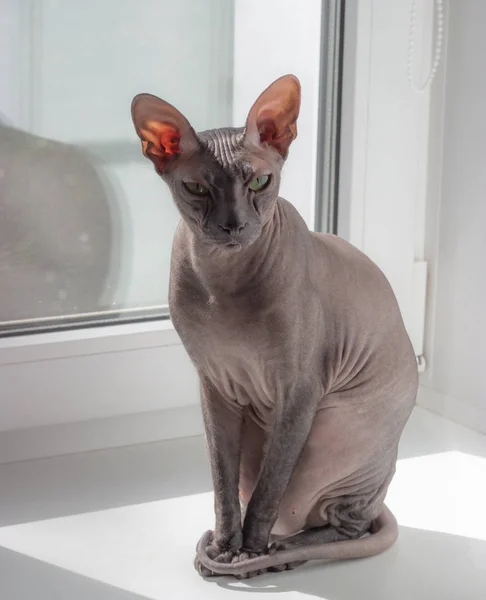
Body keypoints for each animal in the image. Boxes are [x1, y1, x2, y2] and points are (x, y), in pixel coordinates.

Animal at [132, 74, 418, 576]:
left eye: (260, 181)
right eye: (198, 189)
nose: (233, 226)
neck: (222, 286)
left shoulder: (298, 392)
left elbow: (269, 489)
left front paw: (248, 551)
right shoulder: (215, 386)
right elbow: (222, 484)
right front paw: (224, 544)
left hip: (330, 437)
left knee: (346, 523)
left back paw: (280, 554)